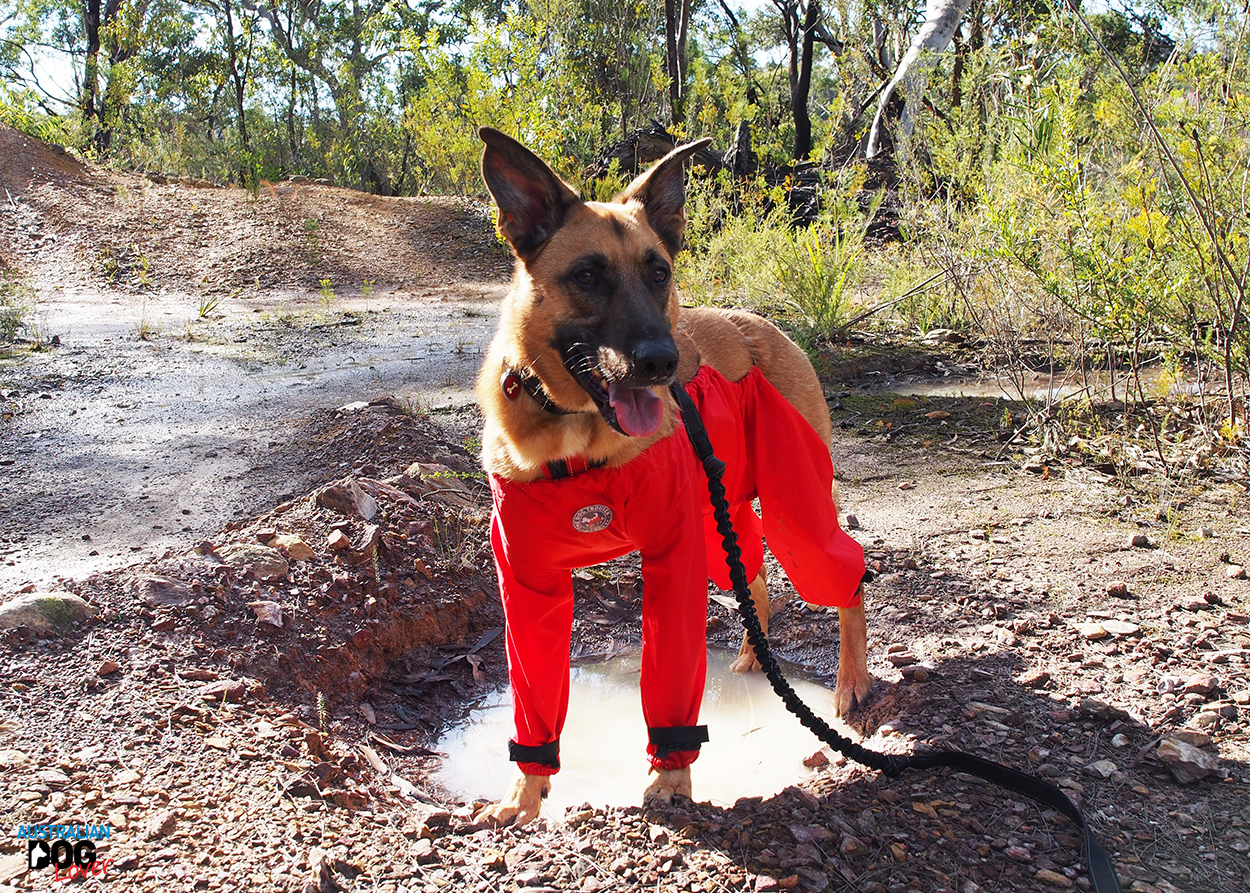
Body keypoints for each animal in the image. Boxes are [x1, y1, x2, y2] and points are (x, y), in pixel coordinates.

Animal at [474, 127, 872, 827]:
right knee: (757, 584)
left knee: (845, 576)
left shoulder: (674, 560)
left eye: (659, 272)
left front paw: (670, 783)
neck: (575, 440)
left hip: (795, 511)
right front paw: (525, 793)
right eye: (587, 276)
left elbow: (670, 686)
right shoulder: (528, 587)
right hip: (723, 524)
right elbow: (534, 699)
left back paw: (853, 683)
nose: (663, 362)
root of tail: (764, 322)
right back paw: (752, 658)